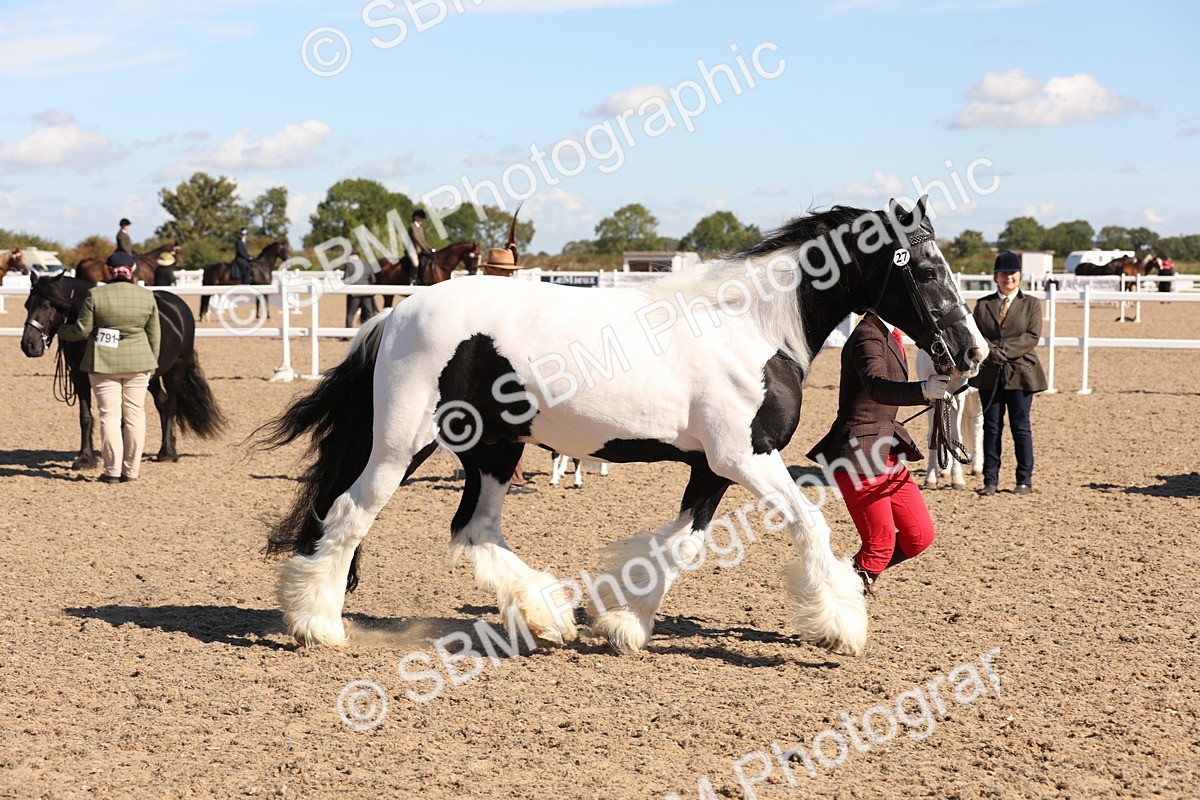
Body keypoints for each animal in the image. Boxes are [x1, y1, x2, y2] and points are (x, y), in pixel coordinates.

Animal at [20, 274, 226, 469]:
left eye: (46, 305)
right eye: (27, 305)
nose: (28, 345)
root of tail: (178, 307)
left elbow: (119, 418)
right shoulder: (79, 378)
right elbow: (86, 417)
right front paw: (85, 458)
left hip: (175, 372)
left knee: (170, 406)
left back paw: (167, 453)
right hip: (150, 377)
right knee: (162, 402)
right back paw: (169, 445)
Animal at [915, 349, 983, 489]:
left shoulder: (958, 396)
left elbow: (956, 435)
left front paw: (957, 480)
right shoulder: (932, 400)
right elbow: (935, 435)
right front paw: (930, 478)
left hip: (976, 396)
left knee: (976, 427)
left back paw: (977, 467)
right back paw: (945, 471)